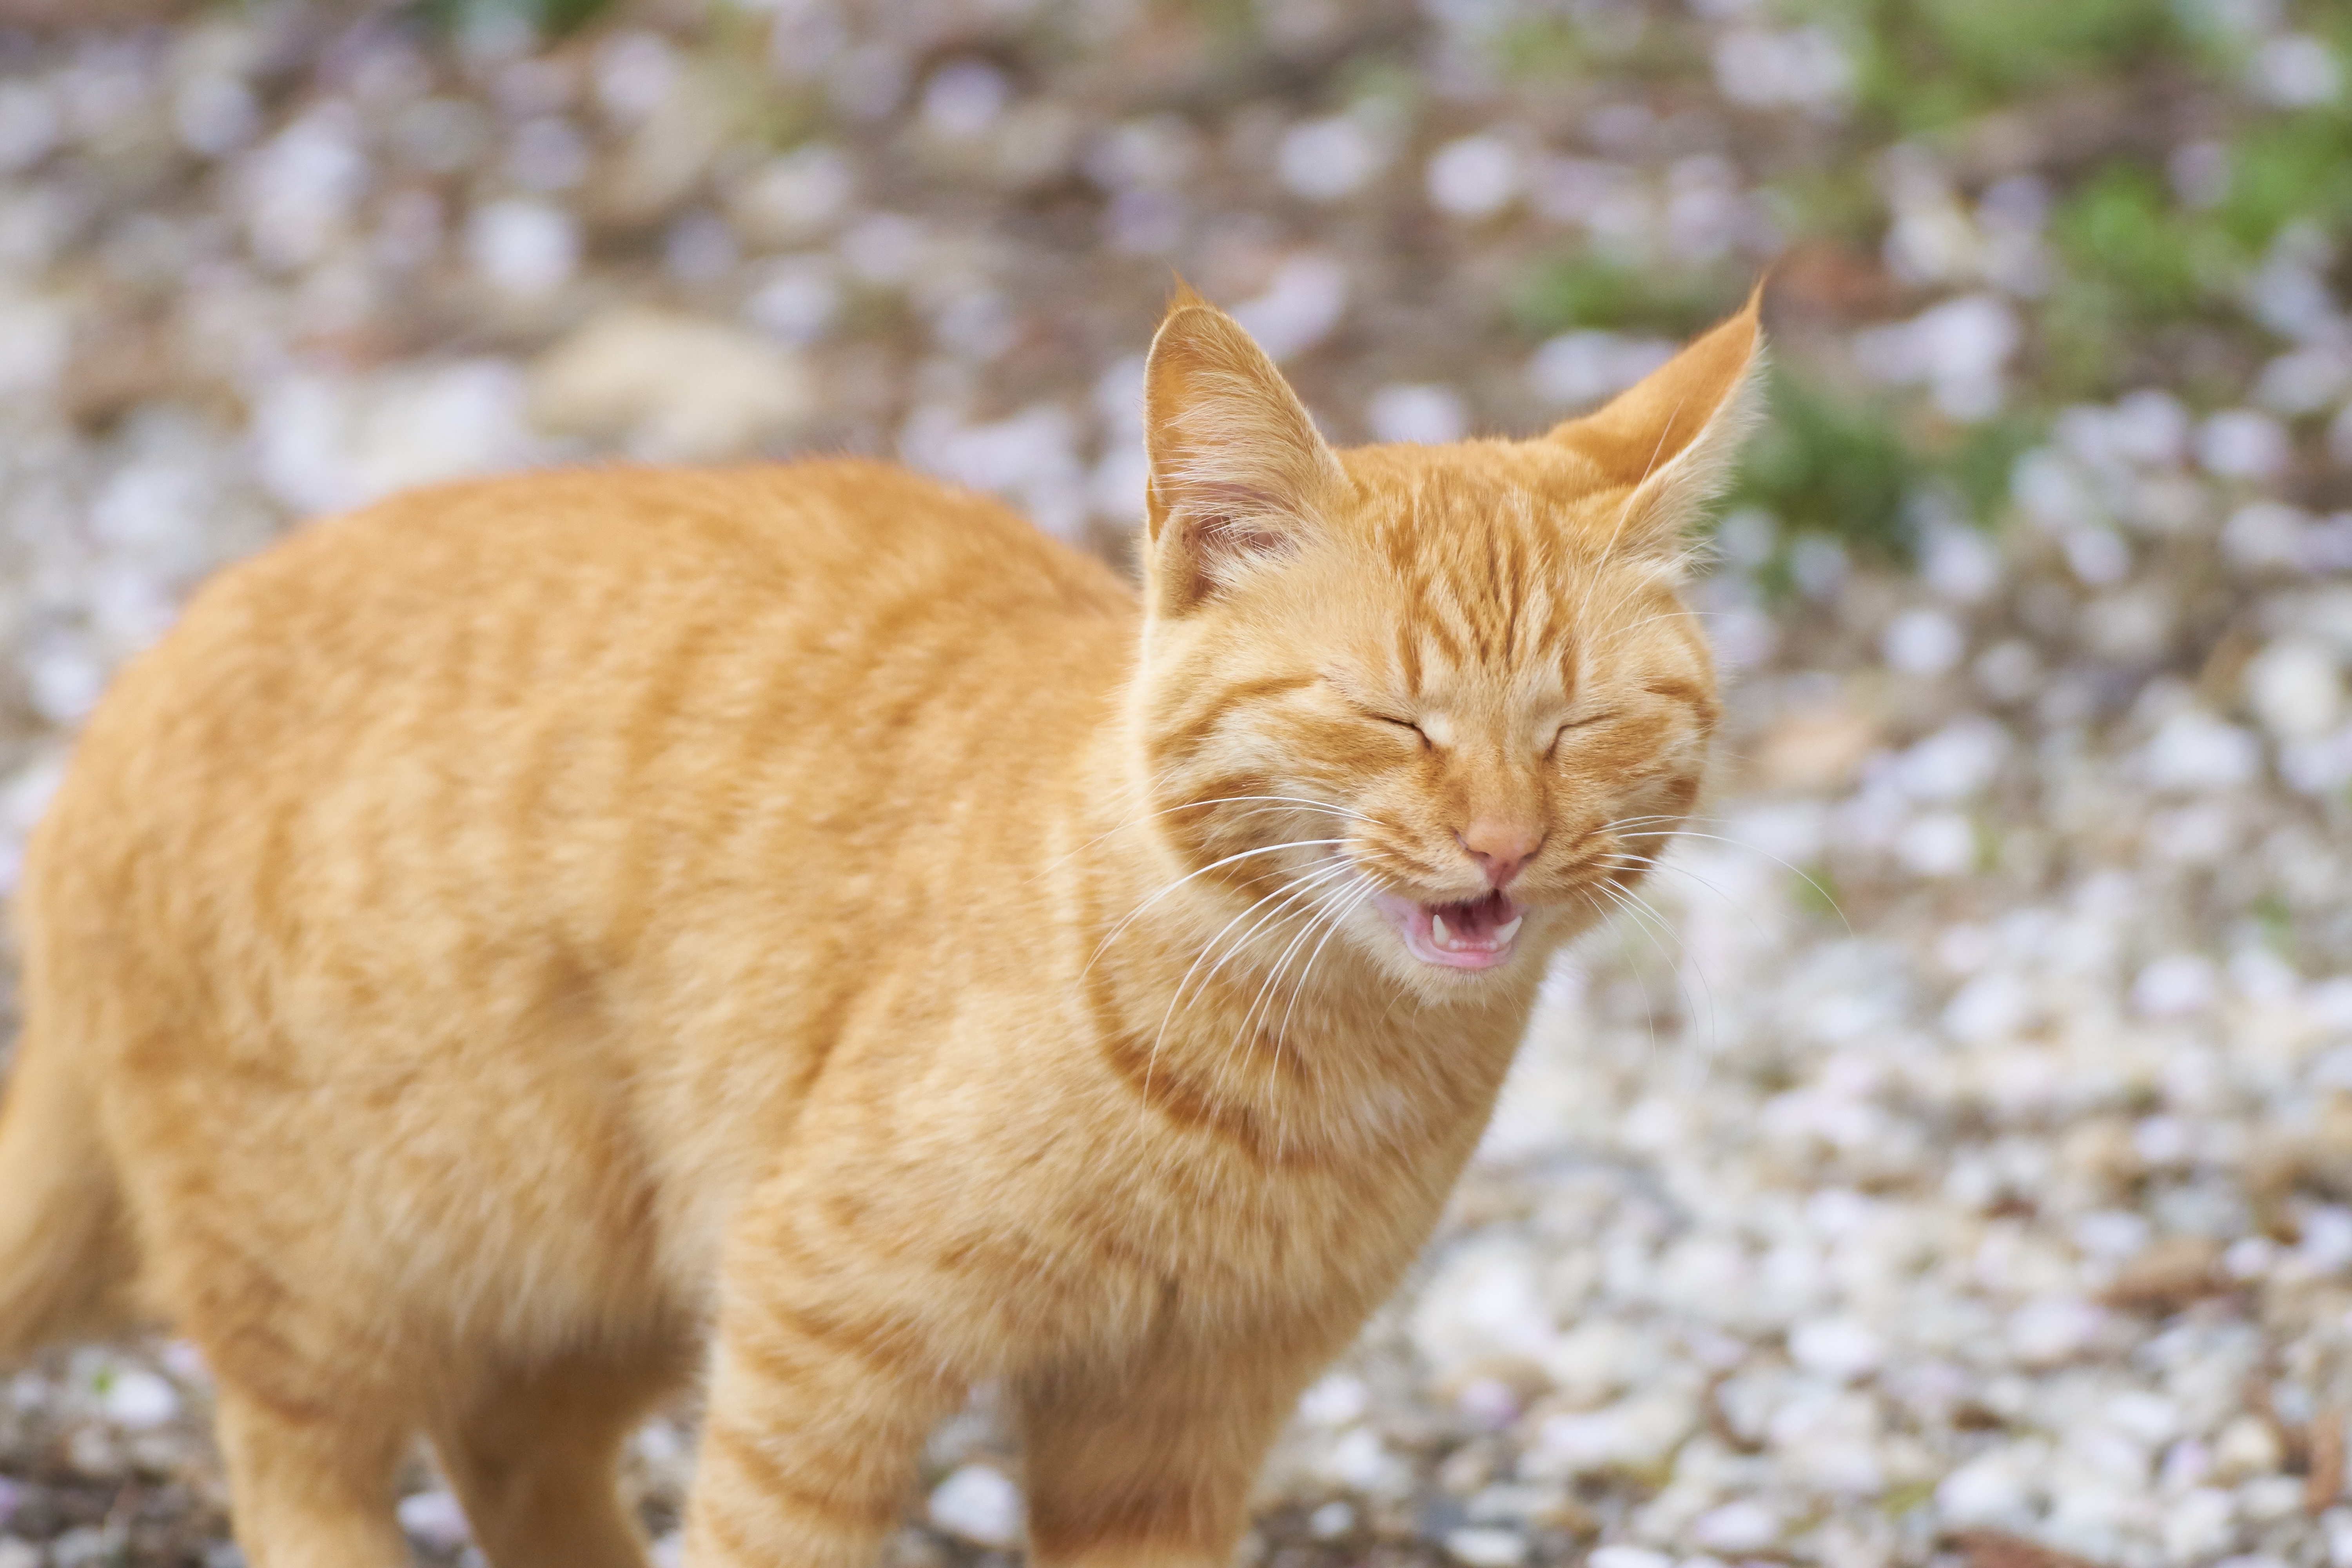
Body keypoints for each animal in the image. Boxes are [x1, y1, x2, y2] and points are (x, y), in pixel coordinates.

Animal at [0, 288, 1759, 1568]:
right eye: (1391, 716)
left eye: (1581, 725)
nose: (1503, 844)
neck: (1315, 1076)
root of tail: (120, 704)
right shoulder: (818, 1330)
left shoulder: (1179, 1420)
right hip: (351, 1261)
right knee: (302, 1464)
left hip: (618, 1259)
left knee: (514, 1450)